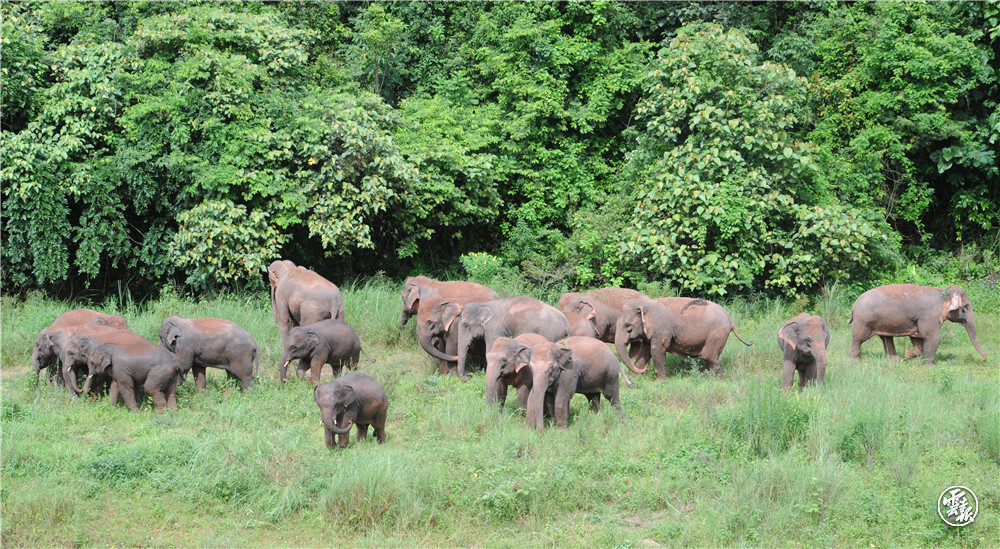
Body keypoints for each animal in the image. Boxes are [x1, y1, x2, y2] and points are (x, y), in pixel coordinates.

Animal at [612, 296, 752, 382]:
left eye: (628, 326)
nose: (646, 370)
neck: (645, 304)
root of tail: (730, 319)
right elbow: (645, 352)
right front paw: (635, 377)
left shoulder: (661, 329)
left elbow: (657, 350)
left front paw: (661, 381)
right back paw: (705, 376)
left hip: (717, 334)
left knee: (709, 356)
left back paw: (718, 380)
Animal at [848, 282, 988, 364]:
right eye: (965, 308)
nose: (983, 360)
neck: (942, 294)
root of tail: (854, 306)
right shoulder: (929, 316)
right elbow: (933, 337)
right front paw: (929, 365)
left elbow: (918, 340)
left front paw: (907, 355)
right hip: (863, 321)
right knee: (858, 338)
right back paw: (855, 360)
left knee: (887, 338)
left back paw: (896, 359)